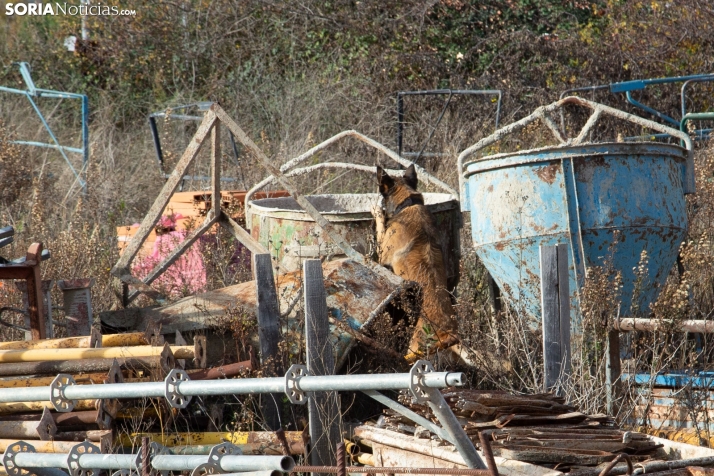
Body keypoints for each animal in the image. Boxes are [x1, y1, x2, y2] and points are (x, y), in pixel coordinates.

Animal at [372, 164, 456, 360]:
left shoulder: (383, 254)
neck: (408, 202)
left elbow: (380, 226)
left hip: (413, 346)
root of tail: (448, 333)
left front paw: (376, 211)